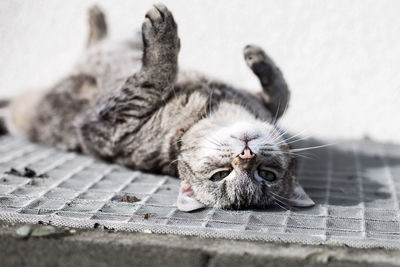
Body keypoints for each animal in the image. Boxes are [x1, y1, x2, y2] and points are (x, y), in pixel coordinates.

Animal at [3, 3, 316, 211]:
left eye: (266, 174)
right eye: (220, 174)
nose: (246, 155)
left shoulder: (106, 124)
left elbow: (152, 79)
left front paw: (162, 37)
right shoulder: (262, 103)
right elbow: (282, 92)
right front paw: (258, 58)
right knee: (95, 42)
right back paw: (100, 19)